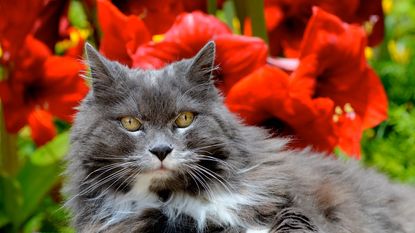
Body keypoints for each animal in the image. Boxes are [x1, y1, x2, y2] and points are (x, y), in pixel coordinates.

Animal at [63, 41, 414, 233]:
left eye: (184, 119)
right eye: (131, 123)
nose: (161, 150)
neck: (178, 197)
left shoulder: (296, 198)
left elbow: (298, 216)